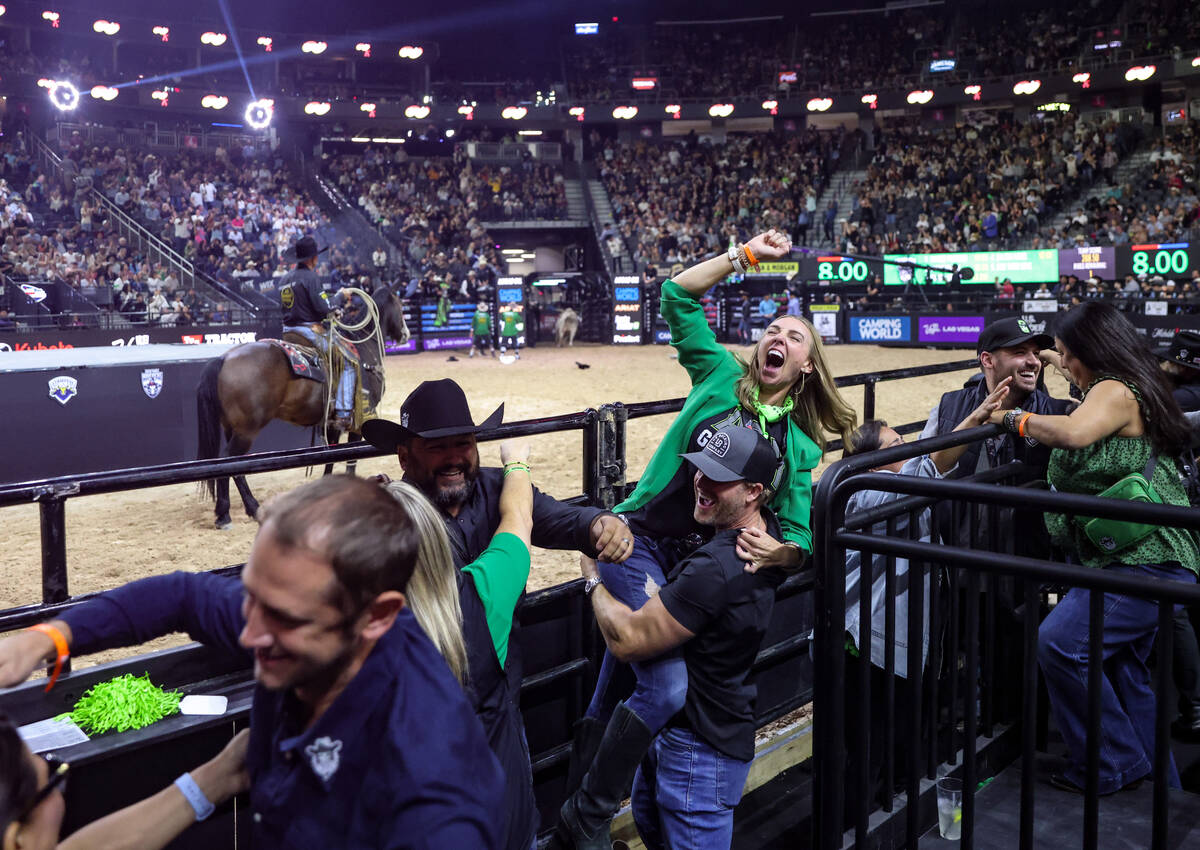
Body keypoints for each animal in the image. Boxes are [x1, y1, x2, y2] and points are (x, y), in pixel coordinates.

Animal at [193, 286, 408, 523]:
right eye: (400, 306)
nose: (405, 334)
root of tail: (223, 359)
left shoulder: (332, 423)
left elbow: (330, 458)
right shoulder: (360, 419)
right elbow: (350, 458)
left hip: (231, 427)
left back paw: (236, 509)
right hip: (246, 431)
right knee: (229, 462)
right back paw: (237, 511)